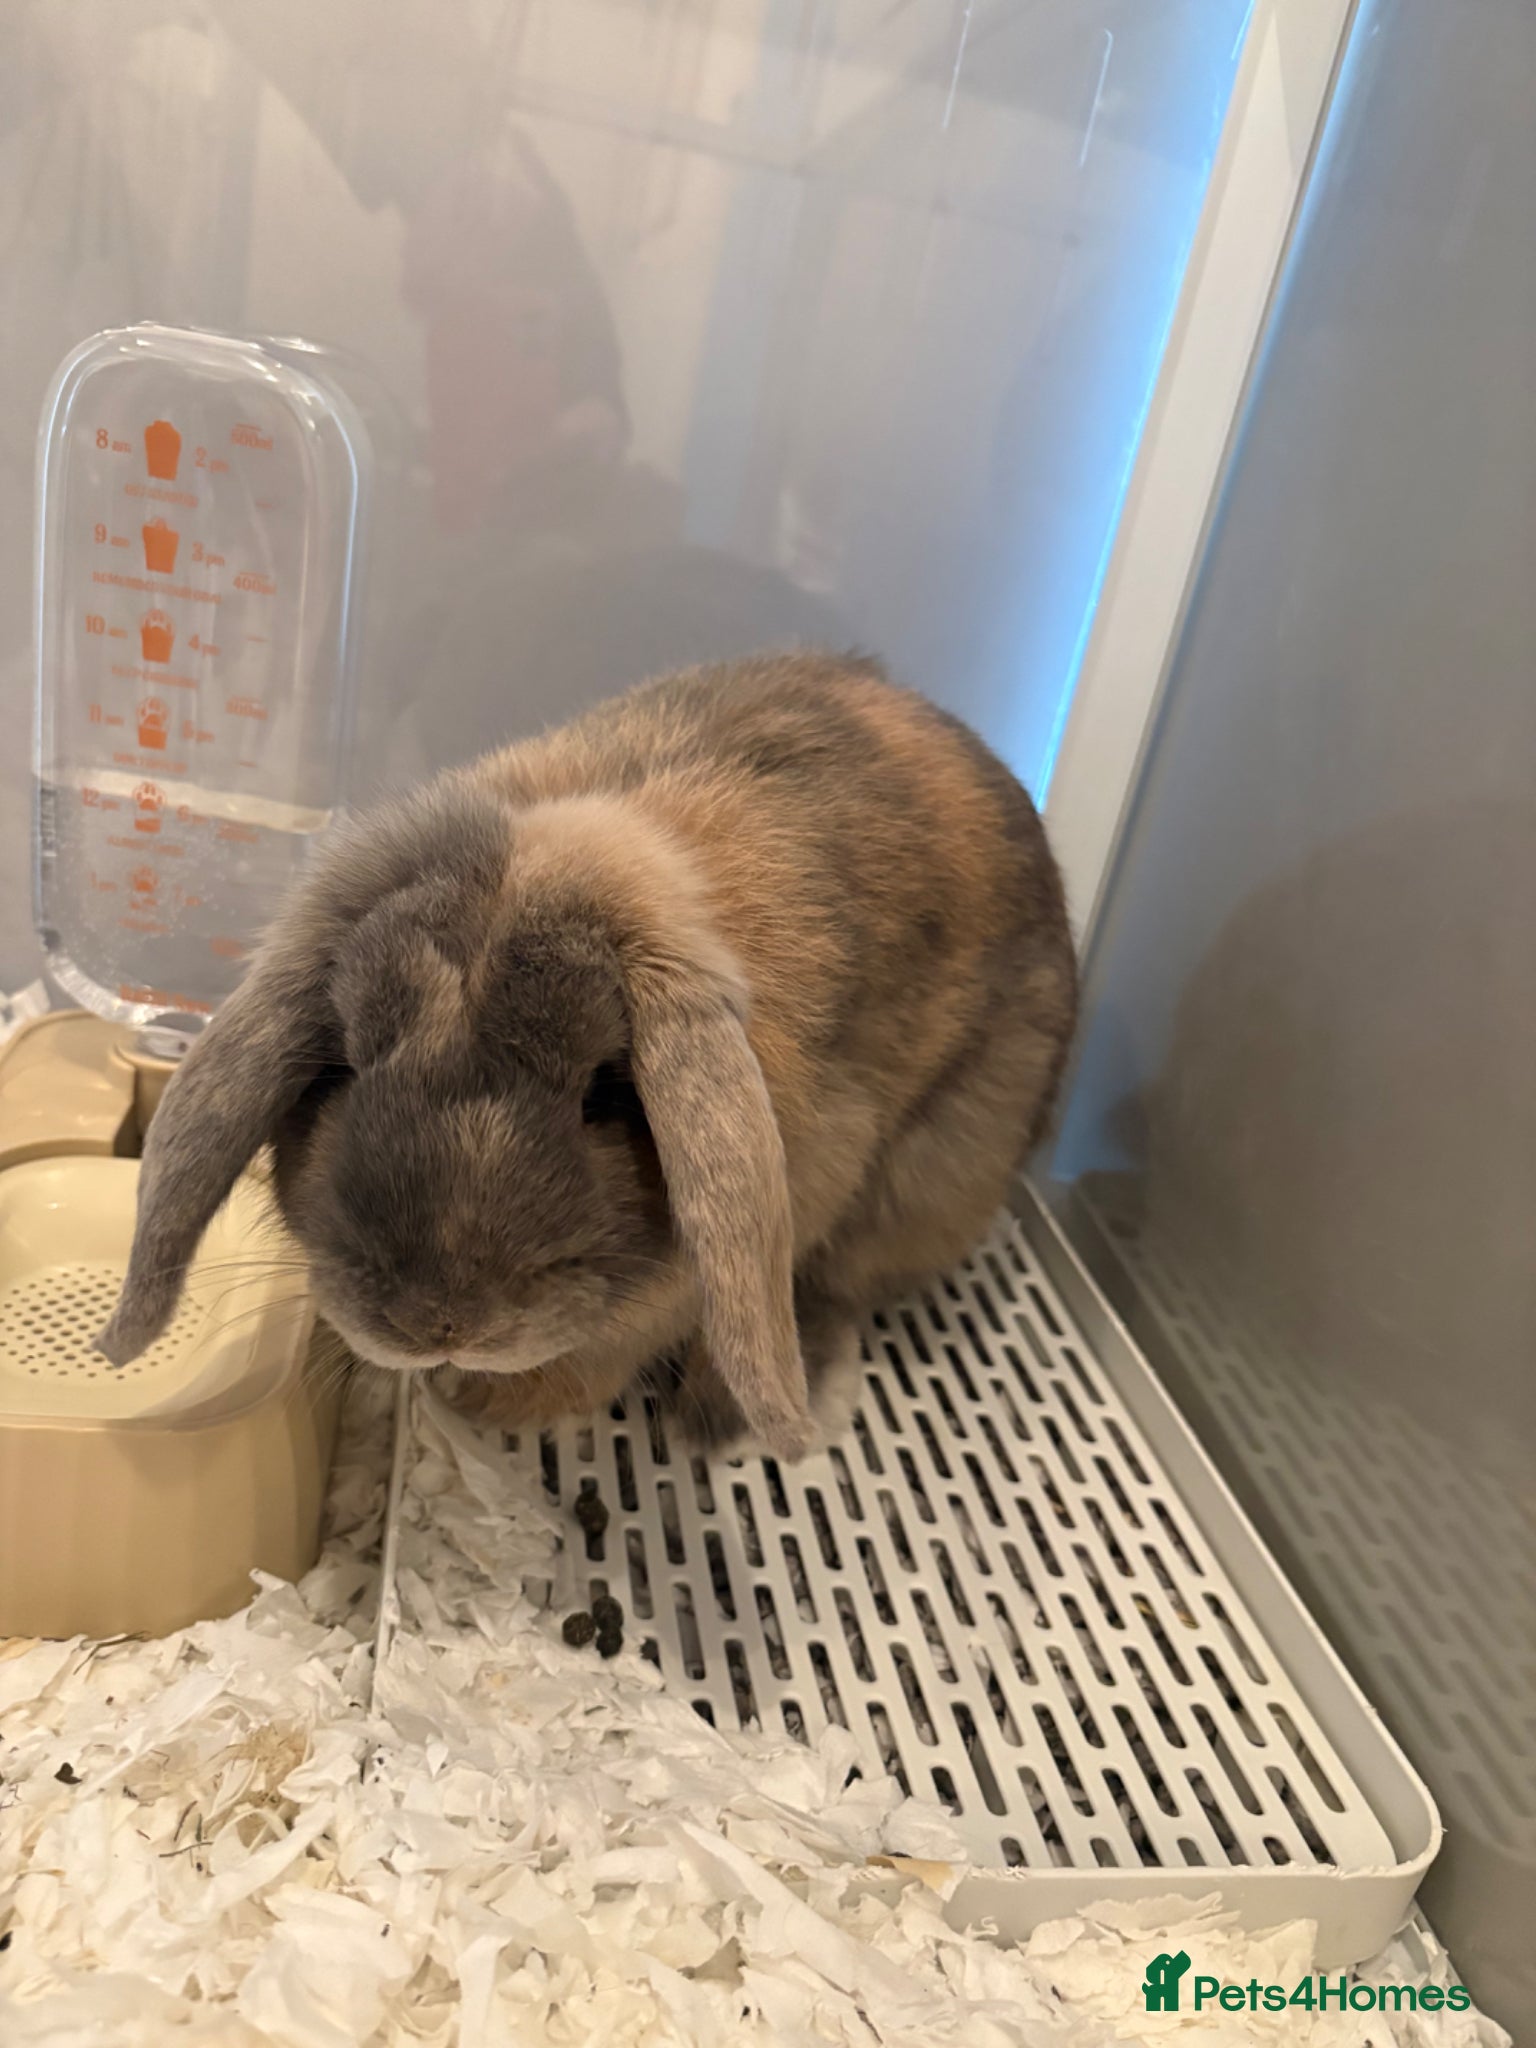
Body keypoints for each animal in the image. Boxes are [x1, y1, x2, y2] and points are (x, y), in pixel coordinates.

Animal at [98, 652, 1078, 1458]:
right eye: (344, 1065)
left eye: (604, 1093)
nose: (439, 1325)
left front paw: (485, 1404)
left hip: (937, 1170)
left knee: (847, 1283)